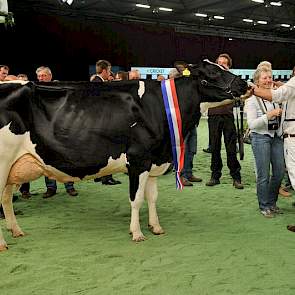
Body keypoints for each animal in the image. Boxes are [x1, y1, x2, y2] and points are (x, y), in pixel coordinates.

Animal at [0, 60, 249, 252]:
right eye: (213, 72)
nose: (245, 84)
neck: (159, 107)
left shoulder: (154, 162)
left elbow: (152, 198)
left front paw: (156, 227)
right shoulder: (138, 160)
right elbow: (136, 199)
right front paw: (137, 232)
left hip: (11, 168)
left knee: (6, 199)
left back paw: (16, 231)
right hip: (3, 162)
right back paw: (4, 243)